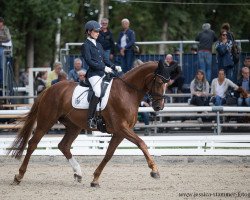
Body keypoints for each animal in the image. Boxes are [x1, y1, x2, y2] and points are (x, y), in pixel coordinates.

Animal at [7, 61, 170, 188]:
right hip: (45, 122)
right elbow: (141, 143)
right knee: (33, 144)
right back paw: (19, 176)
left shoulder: (120, 132)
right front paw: (154, 170)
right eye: (159, 82)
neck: (127, 92)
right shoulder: (122, 128)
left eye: (167, 84)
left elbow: (108, 154)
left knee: (64, 146)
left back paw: (78, 173)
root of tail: (48, 90)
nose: (158, 107)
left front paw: (95, 179)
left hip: (74, 126)